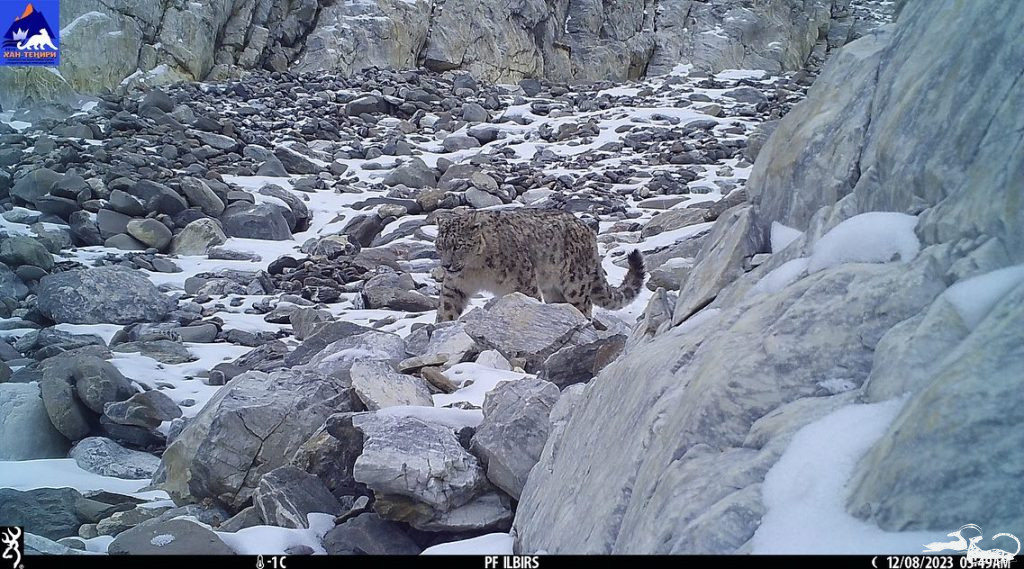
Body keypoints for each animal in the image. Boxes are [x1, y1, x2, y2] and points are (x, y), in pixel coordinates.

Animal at [434, 208, 643, 321]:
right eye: (439, 246)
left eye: (458, 245)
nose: (446, 265)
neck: (476, 270)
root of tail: (588, 230)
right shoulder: (455, 286)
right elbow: (447, 308)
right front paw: (441, 326)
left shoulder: (522, 283)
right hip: (553, 289)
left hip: (576, 283)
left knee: (584, 306)